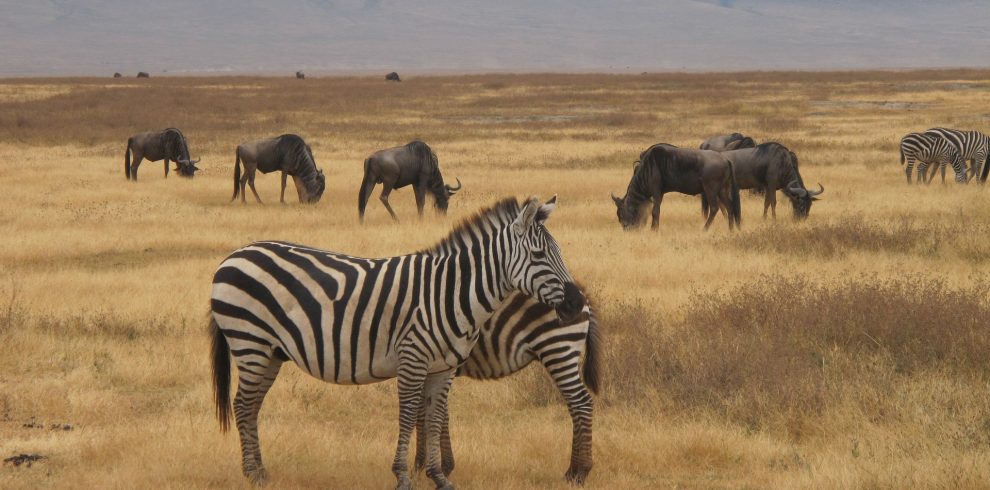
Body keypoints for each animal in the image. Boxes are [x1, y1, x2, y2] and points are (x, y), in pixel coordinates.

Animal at [207, 196, 580, 490]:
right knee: (242, 404)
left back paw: (261, 471)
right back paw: (252, 474)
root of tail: (234, 255)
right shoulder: (412, 357)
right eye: (538, 255)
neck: (451, 293)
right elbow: (408, 414)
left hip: (269, 352)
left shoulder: (443, 368)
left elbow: (433, 417)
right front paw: (402, 476)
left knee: (251, 406)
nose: (576, 305)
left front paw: (439, 477)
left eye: (560, 252)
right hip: (249, 341)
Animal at [412, 290, 600, 484]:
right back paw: (572, 471)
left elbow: (424, 415)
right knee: (574, 406)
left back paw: (581, 472)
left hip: (557, 348)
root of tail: (581, 294)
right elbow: (438, 414)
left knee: (581, 403)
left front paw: (421, 467)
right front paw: (442, 466)